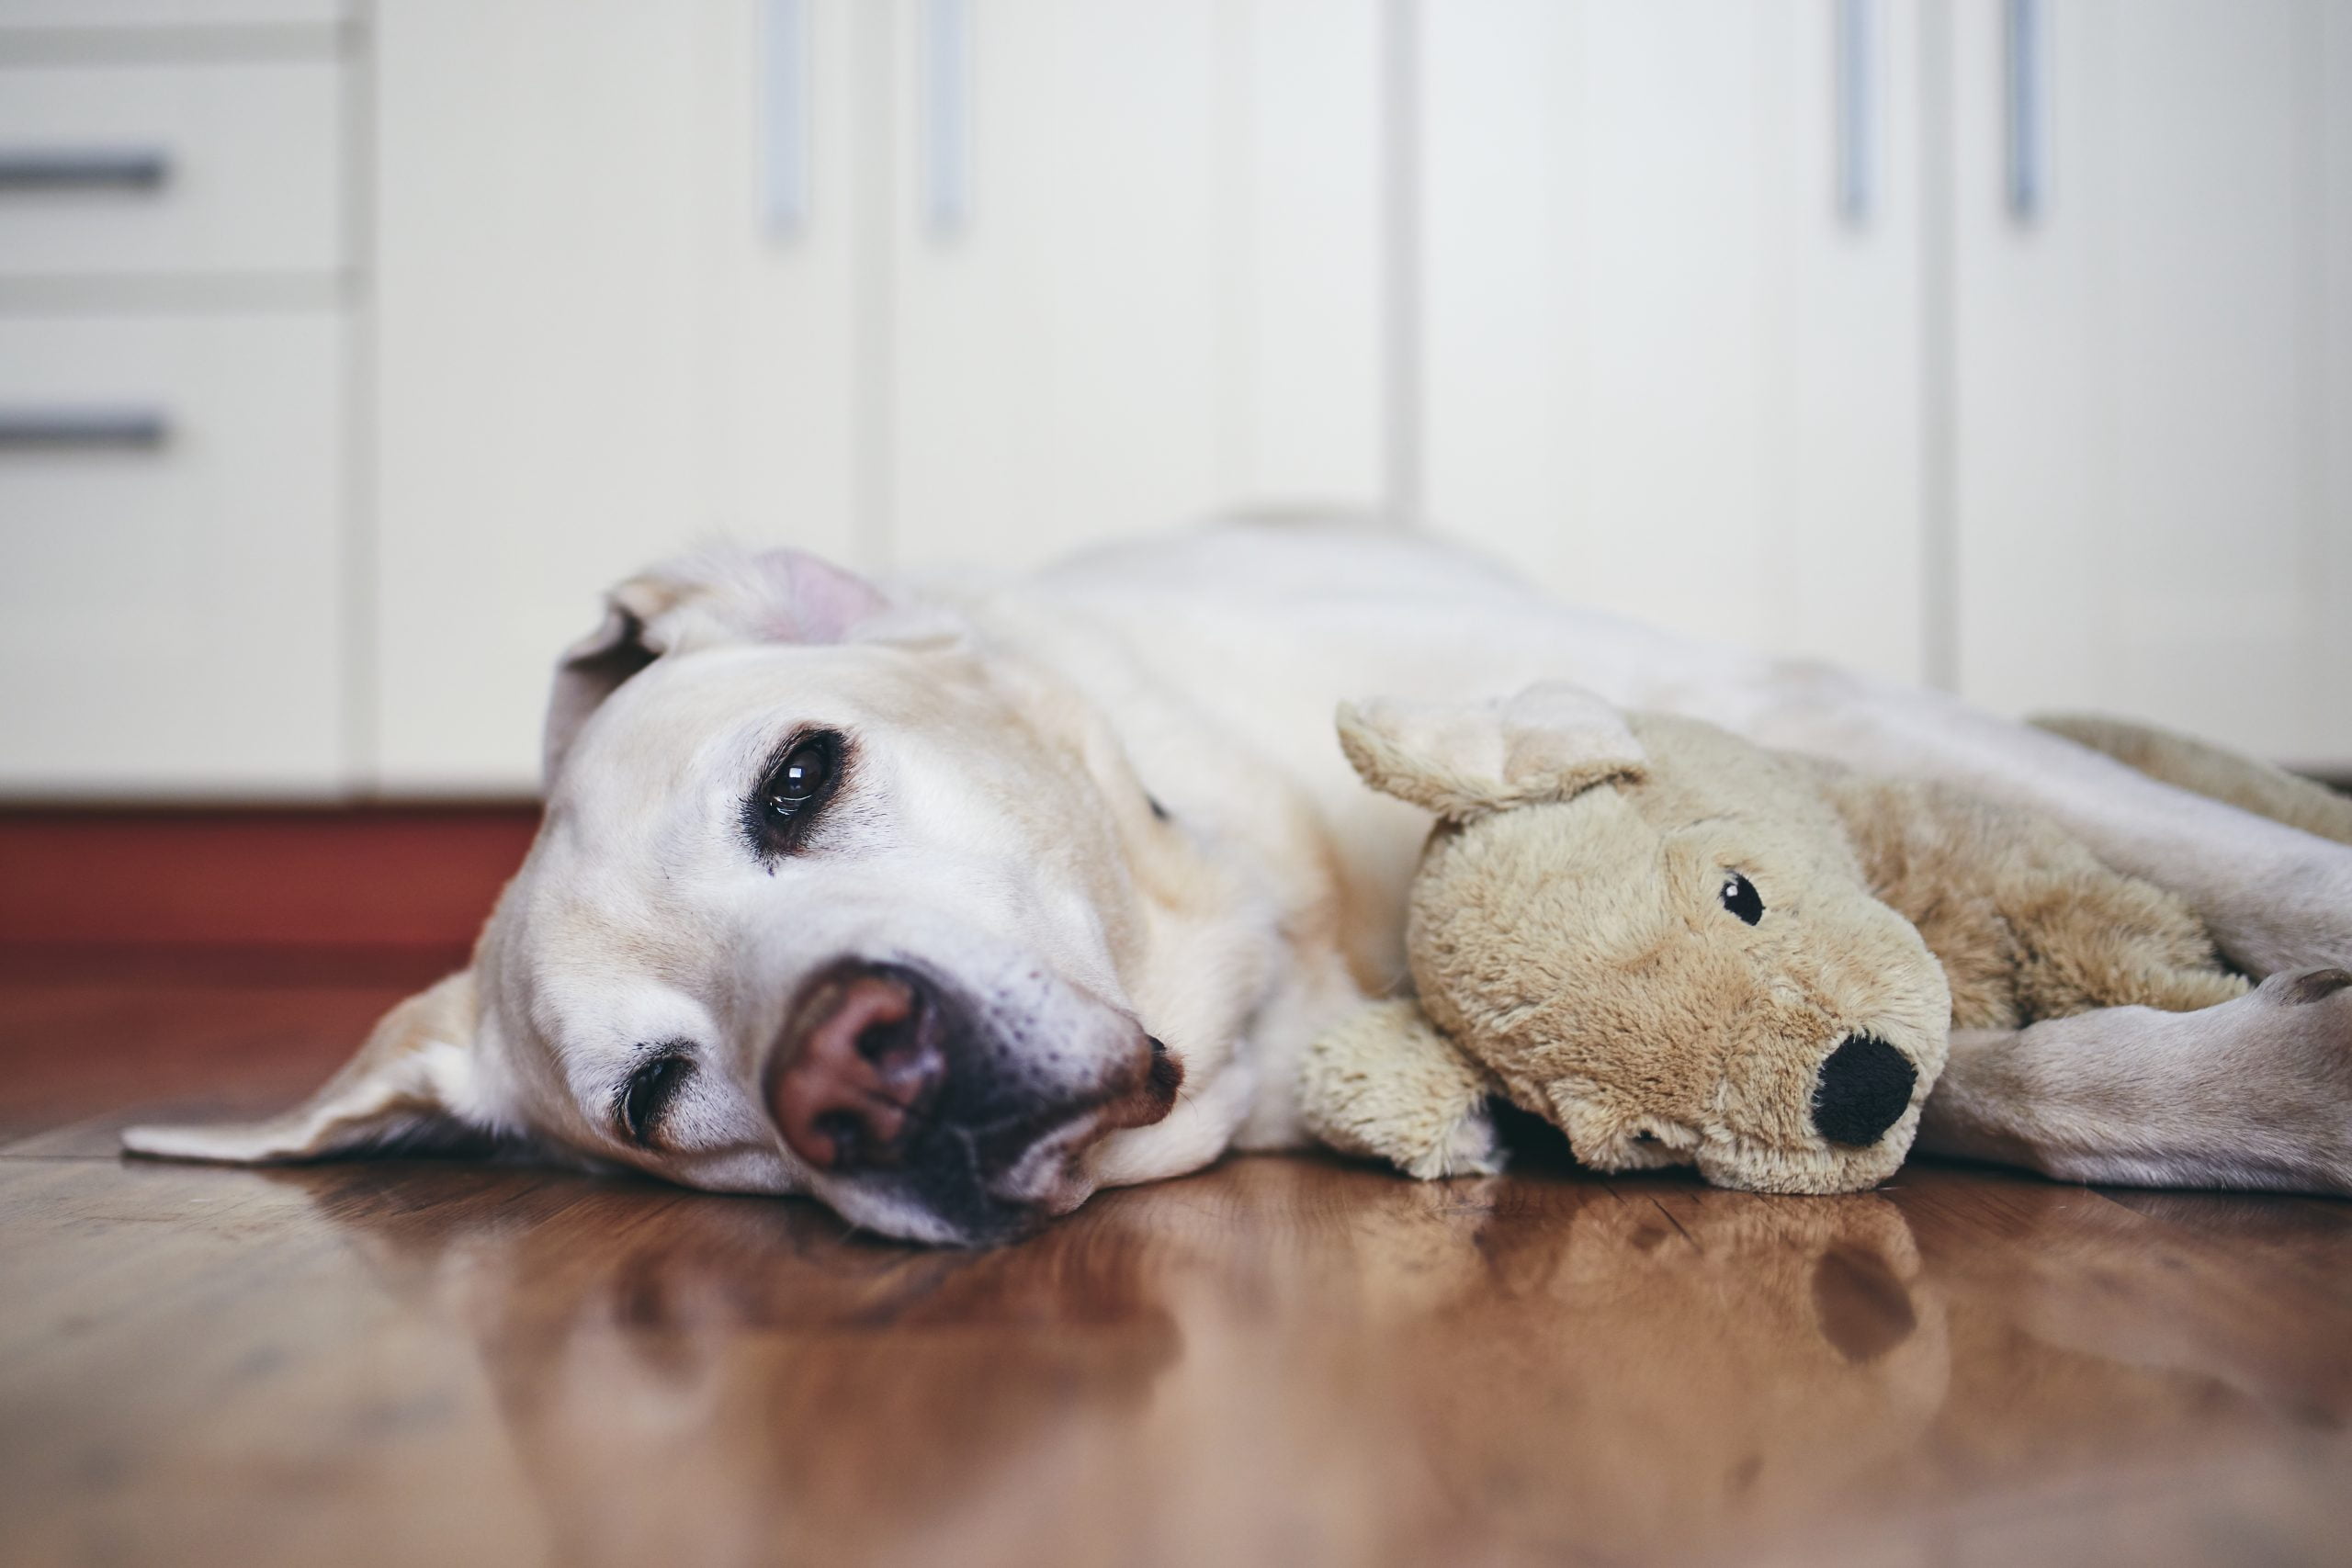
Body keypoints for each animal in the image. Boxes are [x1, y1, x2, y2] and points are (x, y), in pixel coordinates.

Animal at [124, 522, 2352, 1241]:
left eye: (797, 776)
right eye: (661, 1099)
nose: (850, 1064)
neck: (1284, 934)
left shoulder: (1773, 707)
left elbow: (2239, 875)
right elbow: (1955, 1072)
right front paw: (2263, 1086)